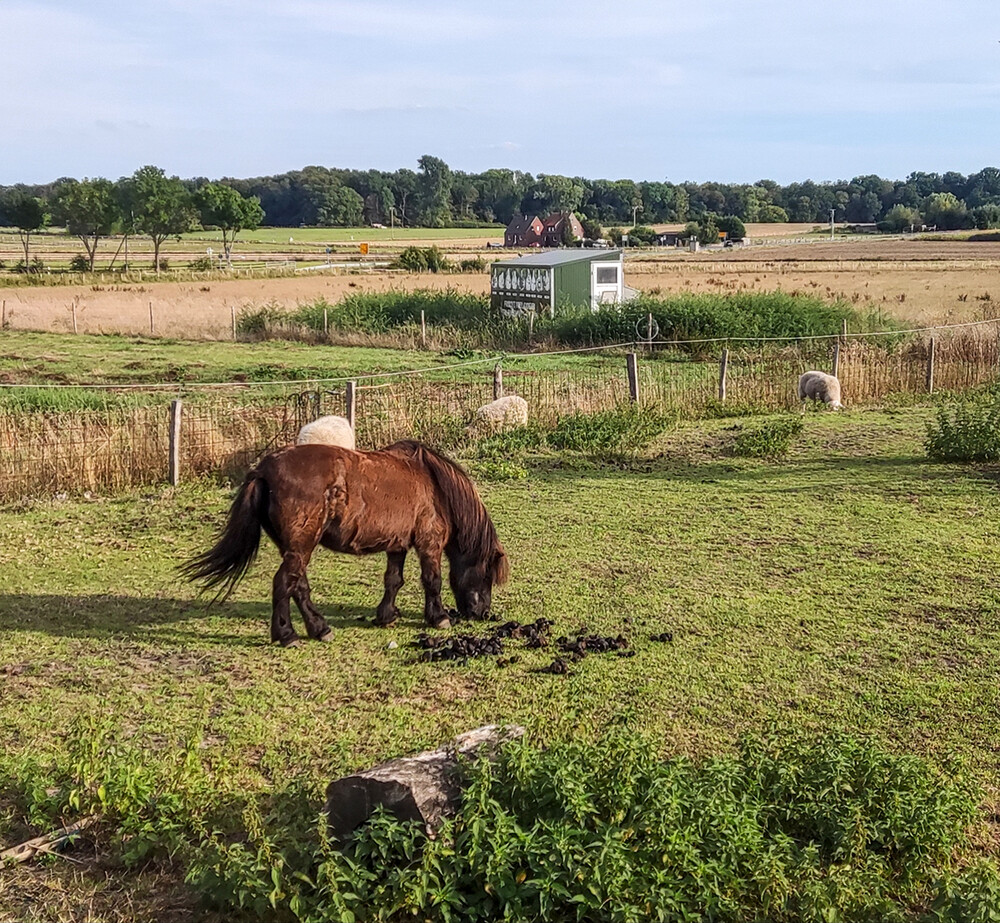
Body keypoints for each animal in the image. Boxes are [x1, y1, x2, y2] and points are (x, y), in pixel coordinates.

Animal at [182, 442, 508, 648]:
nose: (482, 614)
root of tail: (262, 470)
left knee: (298, 586)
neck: (435, 487)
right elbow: (433, 581)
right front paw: (439, 618)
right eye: (487, 576)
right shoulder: (428, 543)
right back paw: (287, 635)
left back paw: (320, 629)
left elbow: (393, 580)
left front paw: (386, 616)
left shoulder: (397, 545)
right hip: (301, 546)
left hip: (294, 549)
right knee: (284, 584)